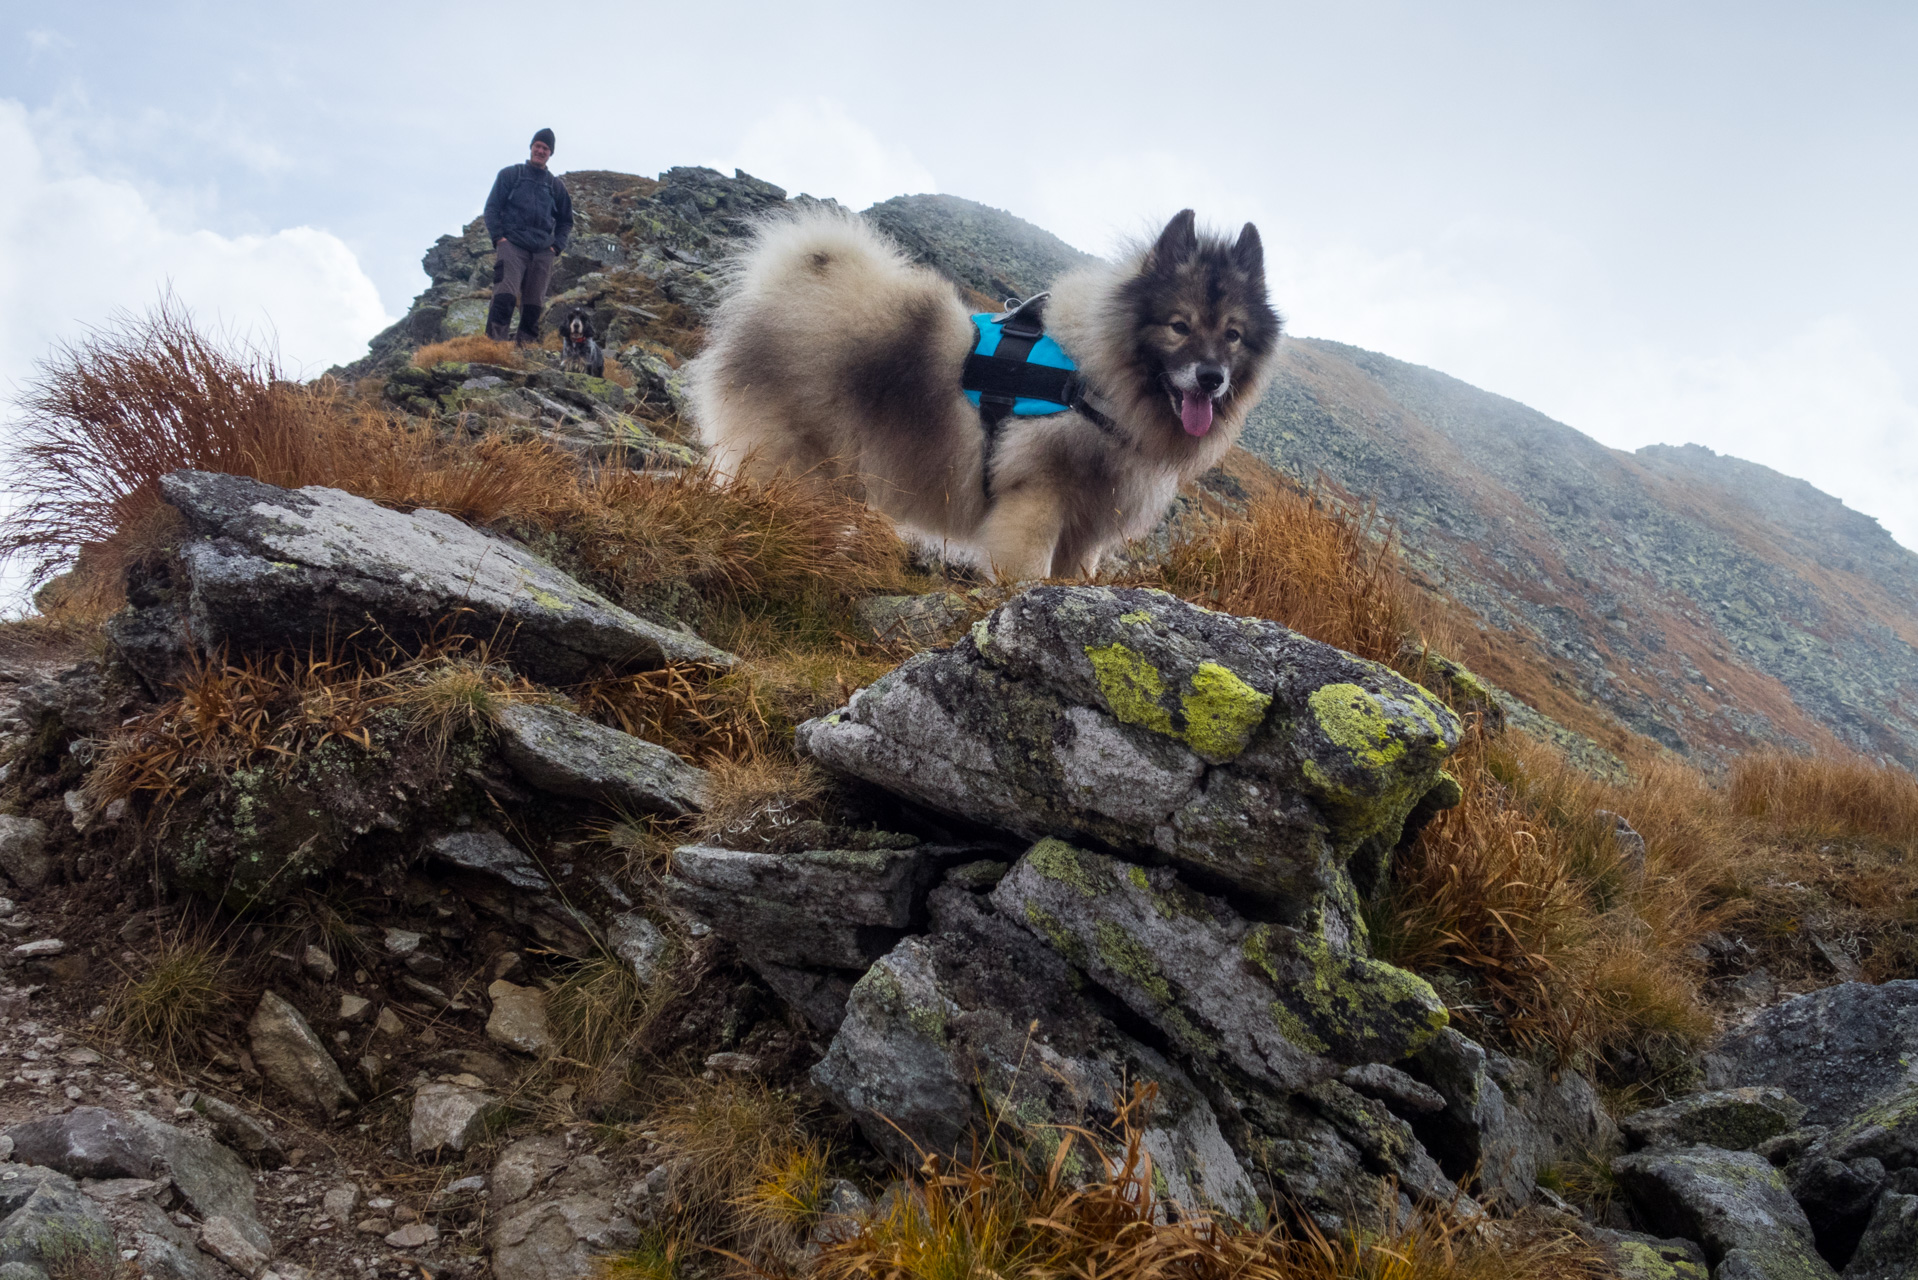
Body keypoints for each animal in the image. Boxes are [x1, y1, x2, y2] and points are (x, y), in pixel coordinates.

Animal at [682, 209, 1281, 579]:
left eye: (1233, 334)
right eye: (1179, 326)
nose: (1212, 378)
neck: (1094, 376)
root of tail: (790, 285)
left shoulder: (1085, 532)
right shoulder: (1036, 501)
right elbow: (1027, 577)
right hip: (794, 465)